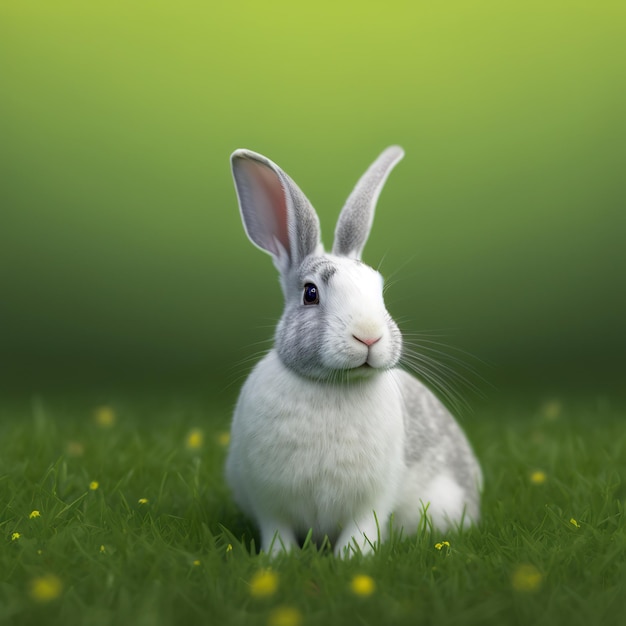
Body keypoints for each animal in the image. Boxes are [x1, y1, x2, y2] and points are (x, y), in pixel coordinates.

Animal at [225, 146, 482, 556]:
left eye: (380, 290)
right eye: (310, 293)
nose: (369, 336)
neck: (332, 385)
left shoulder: (371, 500)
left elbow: (362, 530)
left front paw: (351, 560)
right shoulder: (268, 501)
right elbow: (277, 531)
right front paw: (279, 559)